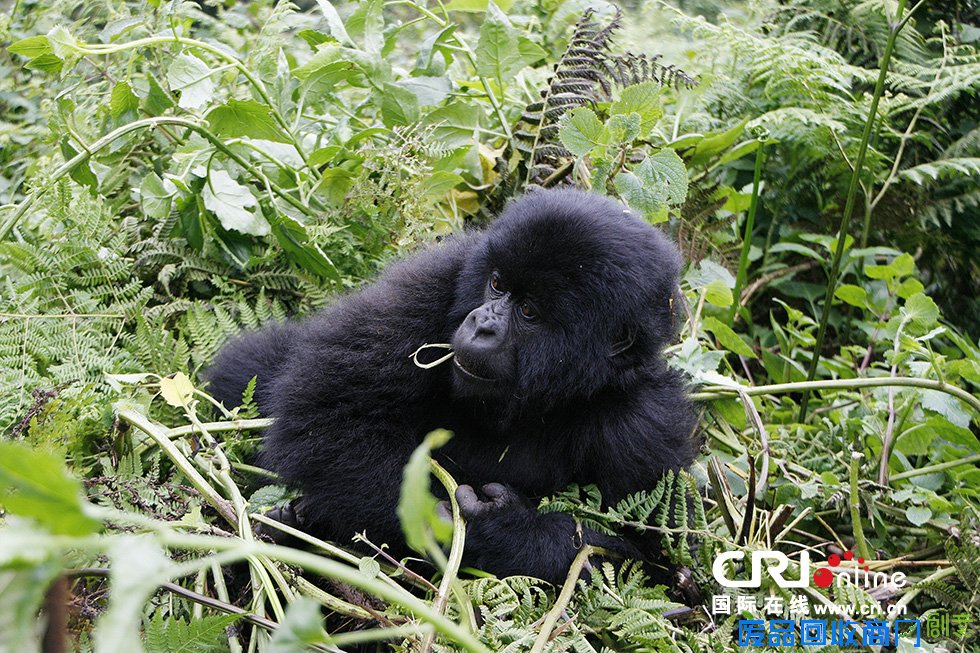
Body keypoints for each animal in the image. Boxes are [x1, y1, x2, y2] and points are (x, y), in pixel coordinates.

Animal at [205, 187, 696, 580]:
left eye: (529, 312)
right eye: (496, 284)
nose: (482, 325)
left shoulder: (645, 428)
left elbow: (652, 562)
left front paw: (501, 531)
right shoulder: (434, 281)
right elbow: (327, 414)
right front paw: (432, 515)